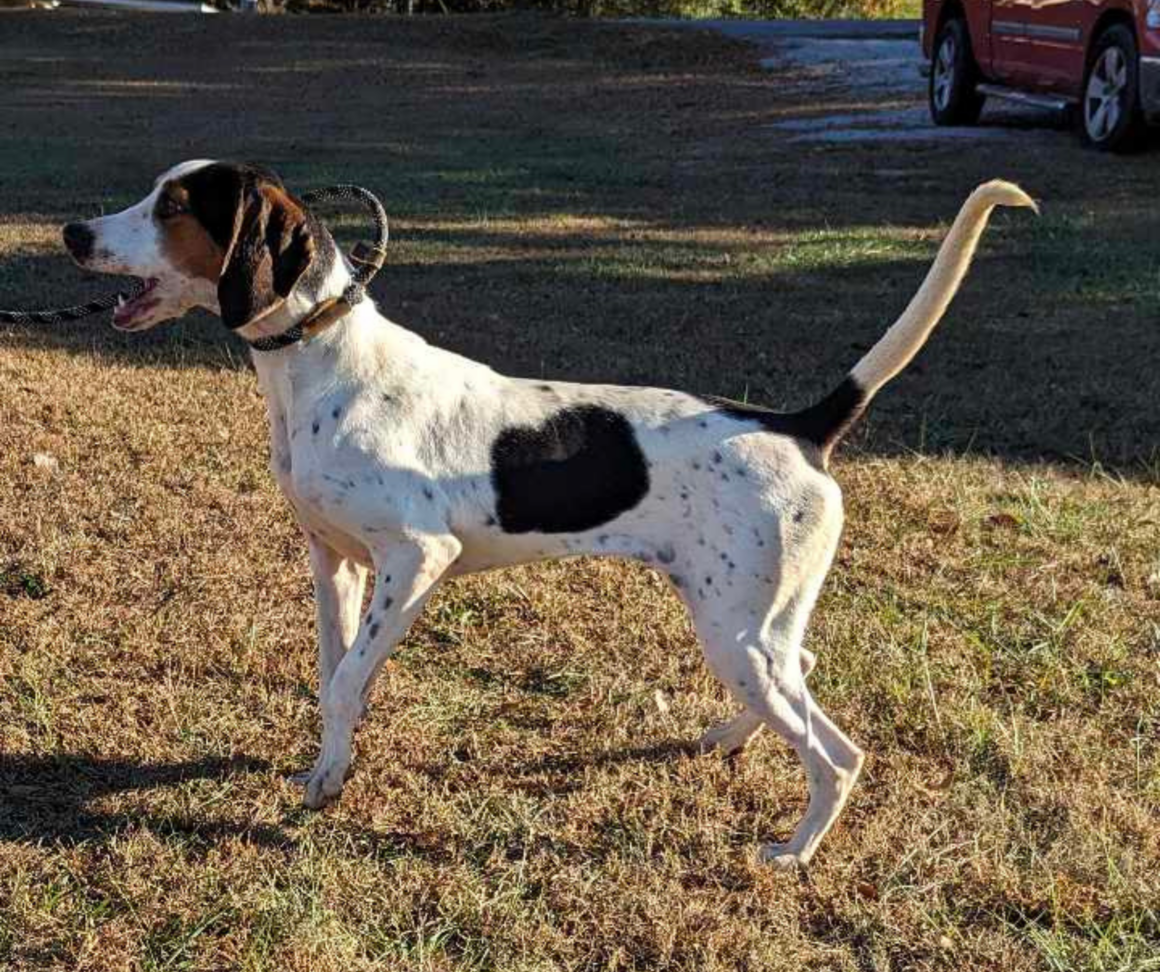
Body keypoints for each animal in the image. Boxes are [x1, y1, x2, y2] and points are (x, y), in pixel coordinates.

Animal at [61, 161, 1034, 867]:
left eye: (173, 205)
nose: (72, 231)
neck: (327, 366)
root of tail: (797, 426)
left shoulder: (416, 559)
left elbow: (345, 680)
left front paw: (330, 785)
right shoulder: (331, 559)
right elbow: (337, 676)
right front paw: (326, 767)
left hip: (735, 632)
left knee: (838, 756)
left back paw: (791, 854)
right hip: (748, 625)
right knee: (801, 671)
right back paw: (726, 736)